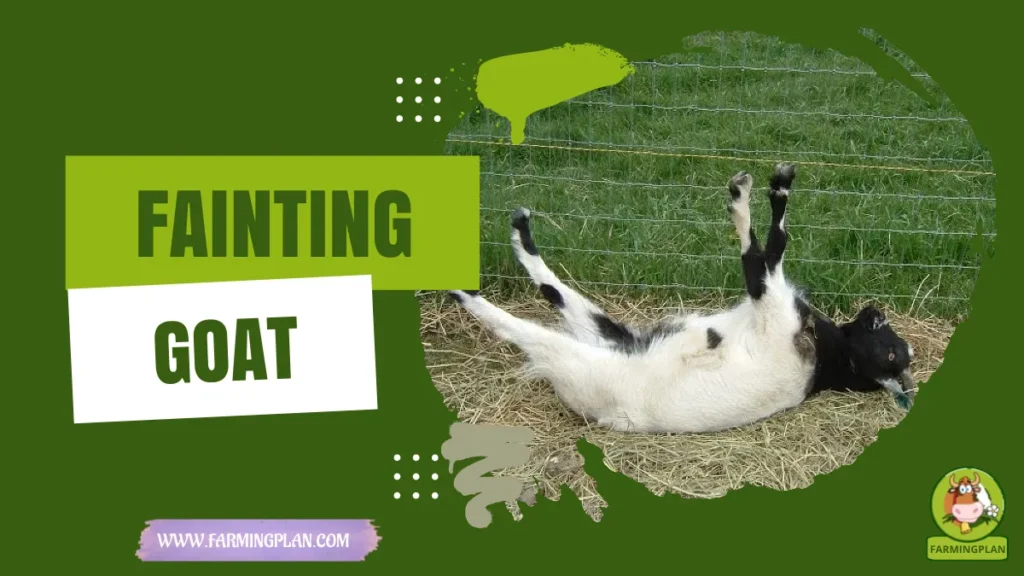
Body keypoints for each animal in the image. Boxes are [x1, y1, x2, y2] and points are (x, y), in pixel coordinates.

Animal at [448, 163, 917, 434]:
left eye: (893, 353)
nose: (874, 311)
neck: (825, 360)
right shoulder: (768, 302)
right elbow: (770, 249)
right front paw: (772, 184)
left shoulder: (770, 302)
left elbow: (765, 250)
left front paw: (754, 193)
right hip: (616, 334)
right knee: (555, 291)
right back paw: (519, 231)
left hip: (586, 358)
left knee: (522, 329)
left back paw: (460, 289)